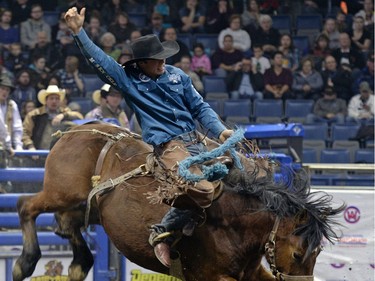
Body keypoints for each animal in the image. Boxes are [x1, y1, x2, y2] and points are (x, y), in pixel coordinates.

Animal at [12, 123, 346, 280]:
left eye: (318, 252)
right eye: (299, 252)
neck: (234, 223)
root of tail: (76, 130)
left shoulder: (253, 273)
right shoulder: (210, 276)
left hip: (85, 208)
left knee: (67, 225)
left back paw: (79, 265)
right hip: (60, 193)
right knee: (26, 206)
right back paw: (24, 263)